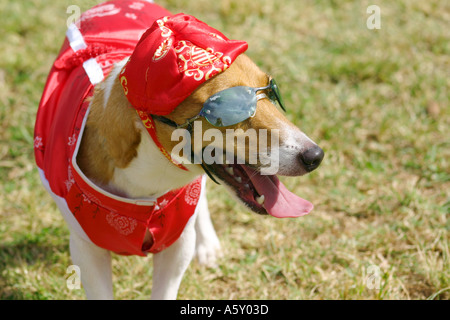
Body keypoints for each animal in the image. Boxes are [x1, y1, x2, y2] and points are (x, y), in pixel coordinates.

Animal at [35, 0, 324, 300]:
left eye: (271, 91)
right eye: (230, 109)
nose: (315, 156)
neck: (150, 179)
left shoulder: (177, 244)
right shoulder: (87, 249)